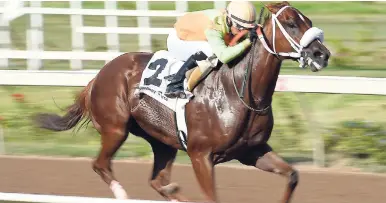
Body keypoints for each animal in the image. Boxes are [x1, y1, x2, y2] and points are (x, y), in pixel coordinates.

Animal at [35, 1, 328, 203]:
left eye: (308, 20)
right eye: (290, 23)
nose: (321, 54)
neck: (241, 92)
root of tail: (98, 75)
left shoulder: (252, 151)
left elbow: (292, 175)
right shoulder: (202, 156)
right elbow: (211, 197)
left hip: (162, 141)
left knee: (157, 180)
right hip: (115, 128)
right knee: (100, 164)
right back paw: (123, 194)